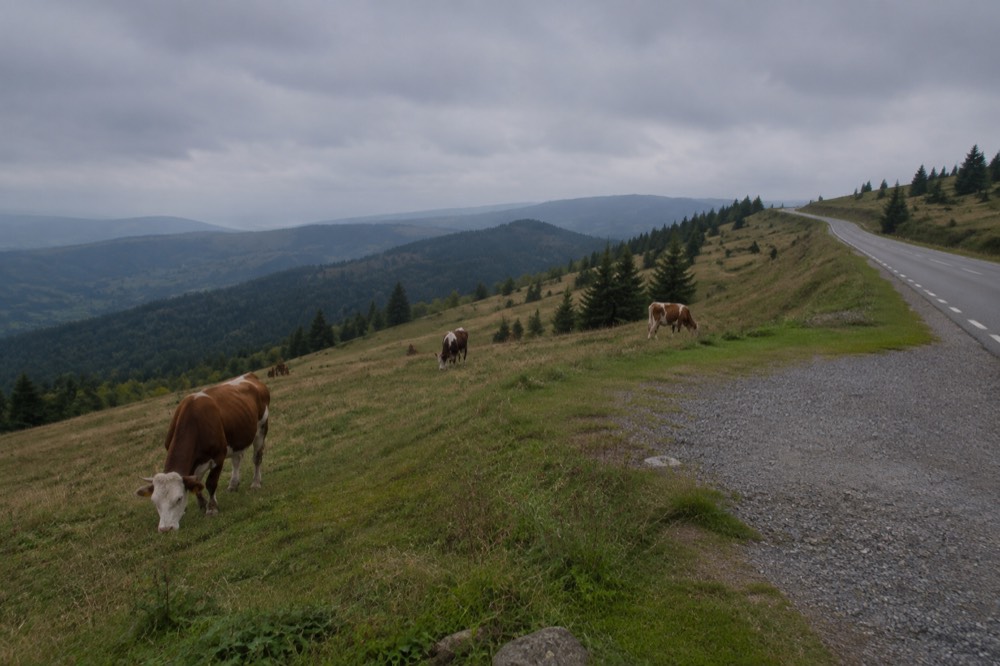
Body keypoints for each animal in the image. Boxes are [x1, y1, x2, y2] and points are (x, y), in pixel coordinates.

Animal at [136, 373, 270, 532]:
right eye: (154, 501)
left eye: (179, 498)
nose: (165, 529)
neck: (194, 424)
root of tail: (250, 375)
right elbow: (196, 483)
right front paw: (202, 504)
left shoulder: (219, 456)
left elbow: (211, 483)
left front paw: (211, 508)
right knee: (237, 459)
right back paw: (233, 484)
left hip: (262, 428)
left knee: (257, 458)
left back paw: (256, 483)